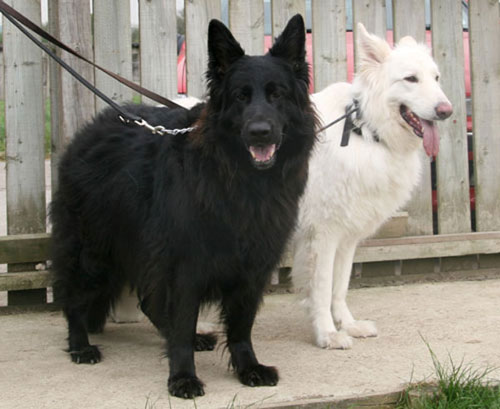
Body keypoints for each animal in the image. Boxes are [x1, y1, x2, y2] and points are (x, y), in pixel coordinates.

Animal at [50, 14, 316, 396]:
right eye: (240, 96)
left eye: (277, 94)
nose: (260, 132)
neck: (240, 179)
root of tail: (88, 132)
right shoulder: (185, 264)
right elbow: (181, 321)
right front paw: (182, 377)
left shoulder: (252, 266)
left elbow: (241, 326)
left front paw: (247, 367)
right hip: (92, 249)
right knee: (73, 296)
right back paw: (80, 345)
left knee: (148, 302)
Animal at [292, 23, 454, 348]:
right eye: (411, 79)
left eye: (436, 78)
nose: (447, 110)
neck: (363, 129)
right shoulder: (322, 237)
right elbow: (322, 289)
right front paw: (327, 334)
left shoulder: (346, 238)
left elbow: (339, 287)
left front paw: (348, 324)